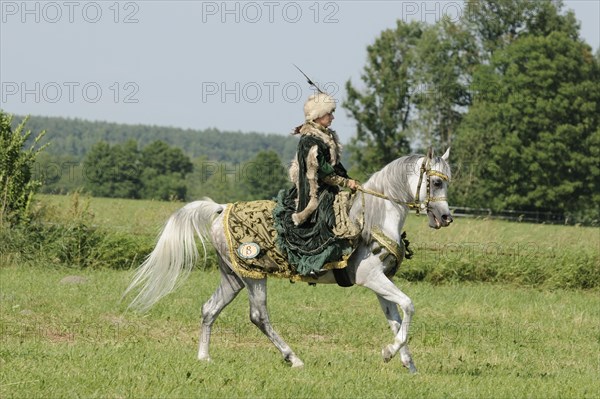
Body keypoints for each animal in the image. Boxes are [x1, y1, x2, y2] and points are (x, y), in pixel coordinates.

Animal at [127, 148, 454, 374]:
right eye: (435, 183)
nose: (446, 217)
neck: (374, 216)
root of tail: (221, 209)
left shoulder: (381, 282)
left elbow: (395, 318)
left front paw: (408, 364)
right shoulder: (372, 278)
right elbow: (409, 306)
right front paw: (389, 353)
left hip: (233, 276)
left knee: (210, 309)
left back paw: (204, 357)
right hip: (253, 274)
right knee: (258, 316)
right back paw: (293, 358)